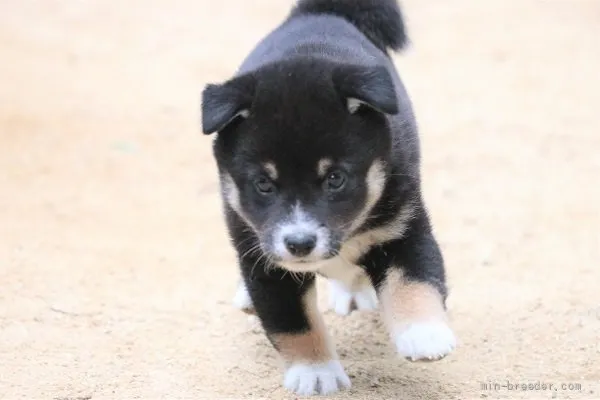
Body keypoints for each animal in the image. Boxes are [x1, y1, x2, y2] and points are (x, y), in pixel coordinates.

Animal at [200, 0, 454, 396]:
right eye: (263, 184)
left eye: (335, 178)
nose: (299, 243)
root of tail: (319, 13)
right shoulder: (266, 263)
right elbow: (293, 323)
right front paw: (314, 372)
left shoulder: (403, 228)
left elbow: (414, 279)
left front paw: (424, 334)